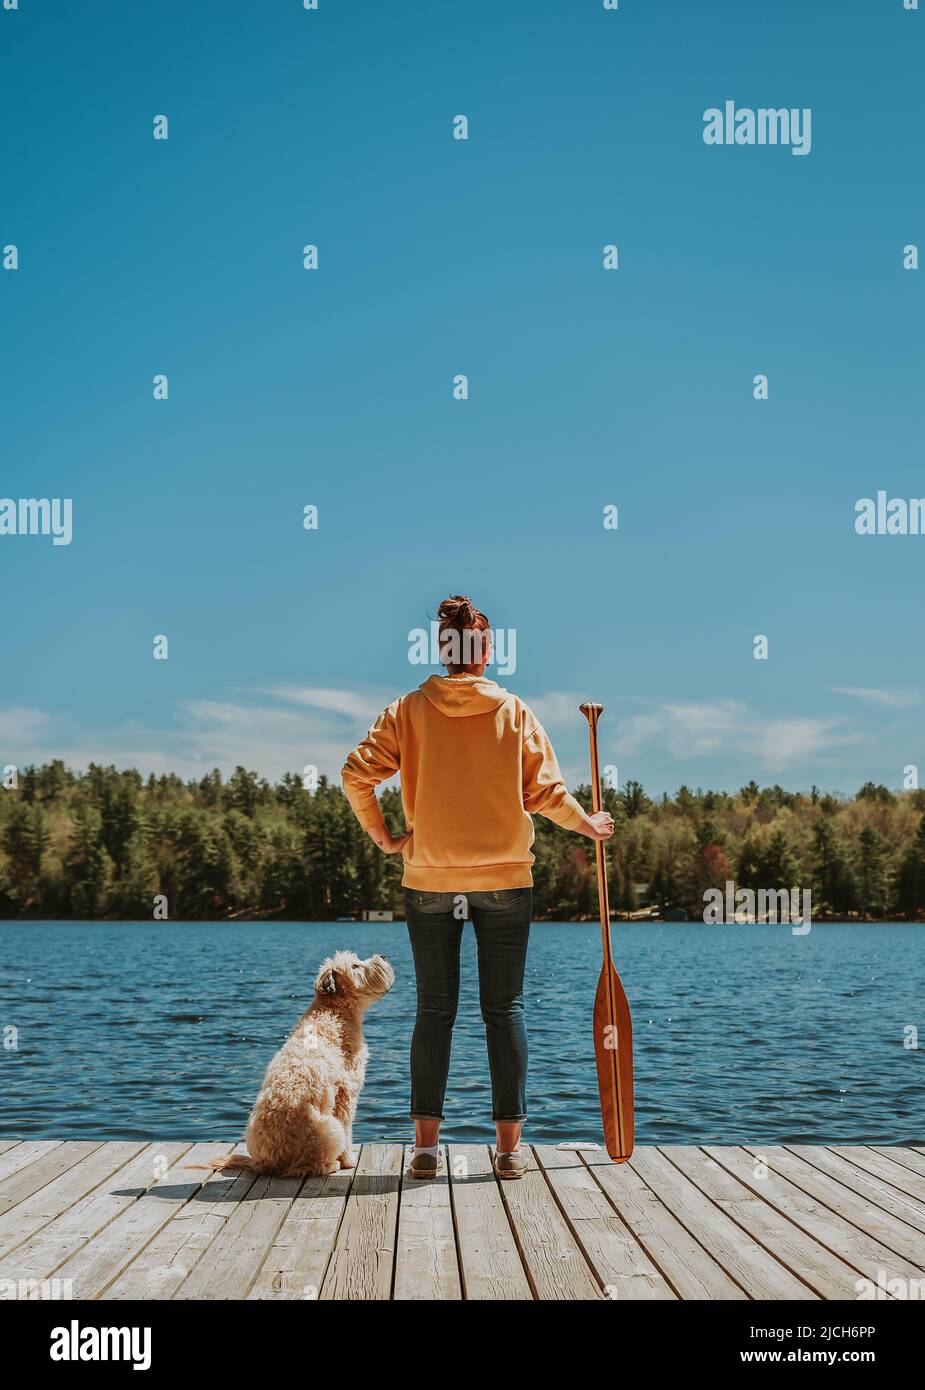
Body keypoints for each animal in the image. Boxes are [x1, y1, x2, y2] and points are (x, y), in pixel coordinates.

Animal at [200, 950, 392, 1178]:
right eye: (355, 966)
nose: (383, 956)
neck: (333, 1012)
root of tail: (265, 1163)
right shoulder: (346, 1093)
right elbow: (348, 1129)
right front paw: (348, 1161)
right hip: (329, 1128)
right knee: (310, 1165)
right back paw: (332, 1165)